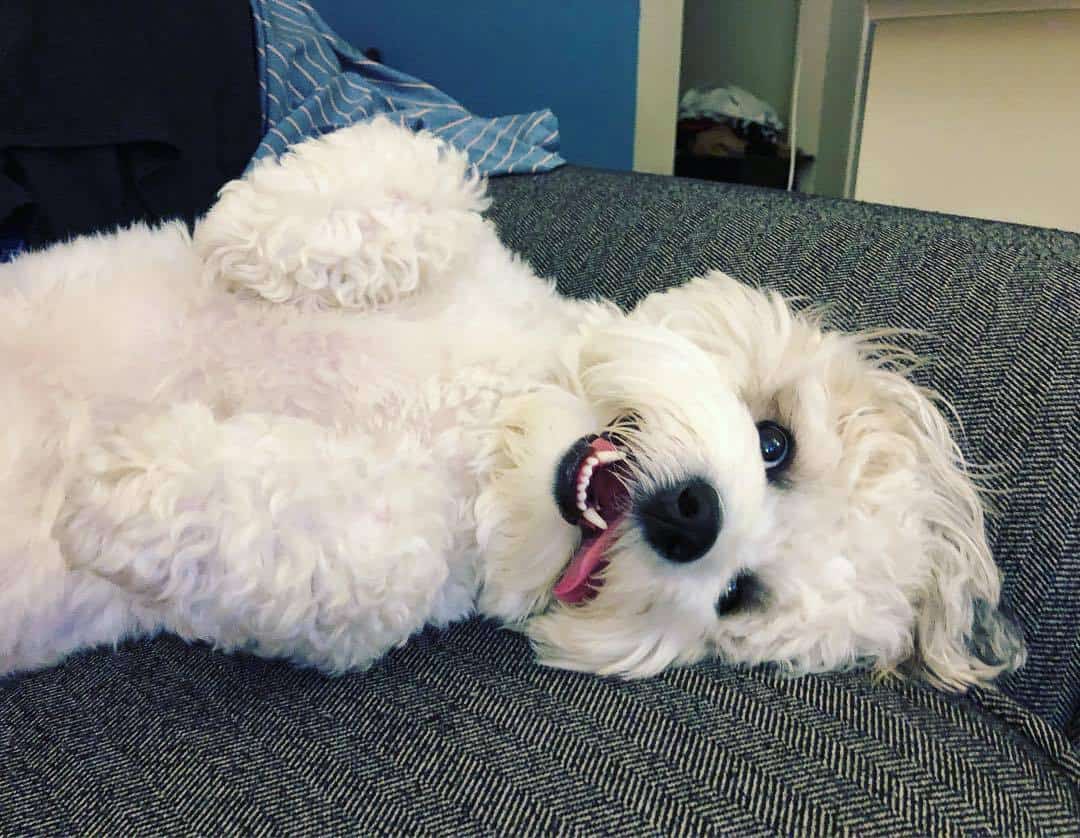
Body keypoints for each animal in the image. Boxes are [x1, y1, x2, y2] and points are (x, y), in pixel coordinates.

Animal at [0, 120, 1023, 691]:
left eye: (739, 597)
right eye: (775, 445)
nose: (695, 518)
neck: (491, 435)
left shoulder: (386, 562)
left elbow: (300, 527)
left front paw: (126, 481)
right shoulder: (461, 239)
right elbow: (408, 173)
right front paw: (252, 233)